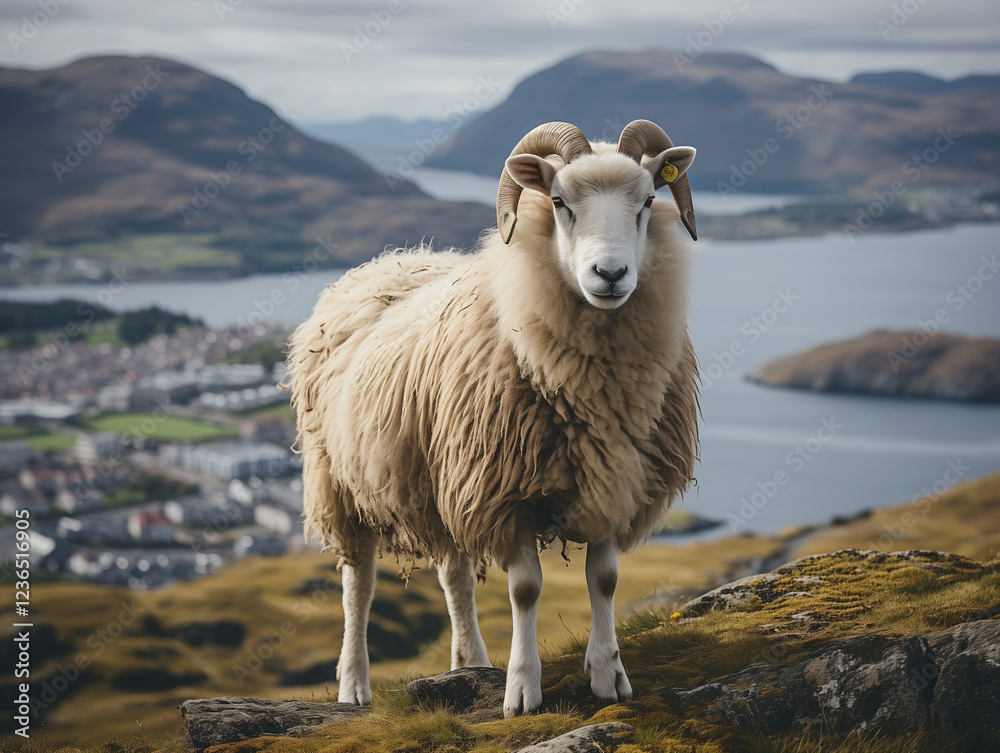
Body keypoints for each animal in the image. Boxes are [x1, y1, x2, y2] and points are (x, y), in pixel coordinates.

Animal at [286, 119, 700, 717]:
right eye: (559, 202)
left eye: (647, 201)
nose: (610, 274)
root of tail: (388, 260)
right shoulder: (507, 490)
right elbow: (525, 589)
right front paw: (522, 690)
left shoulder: (612, 482)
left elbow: (605, 579)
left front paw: (608, 676)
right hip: (341, 482)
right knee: (357, 583)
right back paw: (355, 685)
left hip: (442, 478)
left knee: (454, 574)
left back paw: (470, 662)